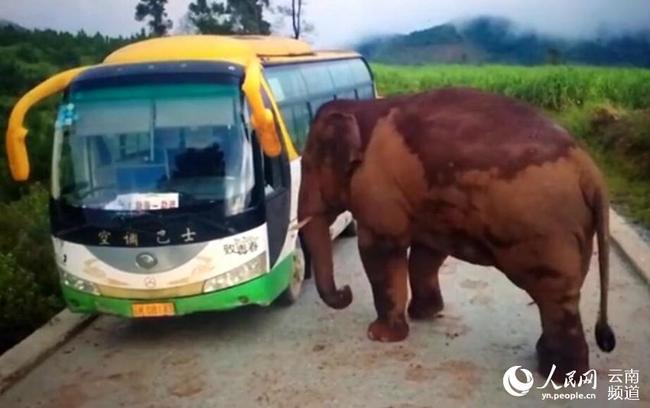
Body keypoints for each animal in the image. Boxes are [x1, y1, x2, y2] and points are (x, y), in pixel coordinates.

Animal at [298, 87, 612, 380]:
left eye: (306, 165)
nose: (345, 291)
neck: (361, 109)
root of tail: (590, 172)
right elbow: (427, 251)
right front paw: (425, 314)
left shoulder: (378, 189)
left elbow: (380, 250)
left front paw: (379, 336)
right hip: (575, 231)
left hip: (547, 233)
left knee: (554, 296)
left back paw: (558, 374)